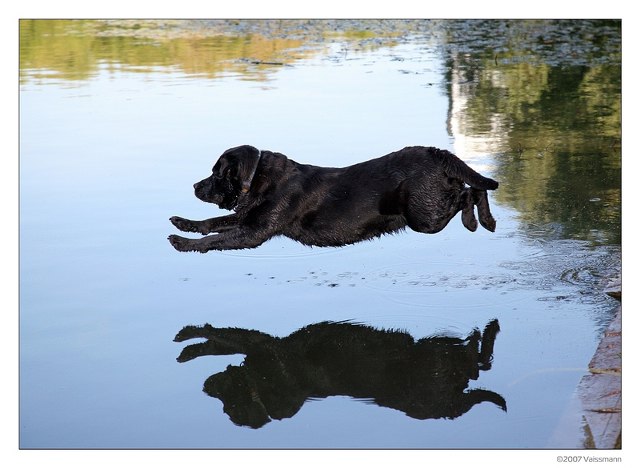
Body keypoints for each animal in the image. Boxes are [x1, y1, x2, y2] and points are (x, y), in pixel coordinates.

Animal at [168, 145, 498, 252]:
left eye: (217, 173)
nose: (195, 186)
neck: (259, 178)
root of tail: (436, 153)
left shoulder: (254, 232)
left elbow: (215, 239)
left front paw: (182, 244)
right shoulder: (246, 218)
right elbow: (212, 222)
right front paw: (182, 223)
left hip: (425, 216)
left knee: (470, 191)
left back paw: (477, 221)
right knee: (470, 187)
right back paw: (485, 221)